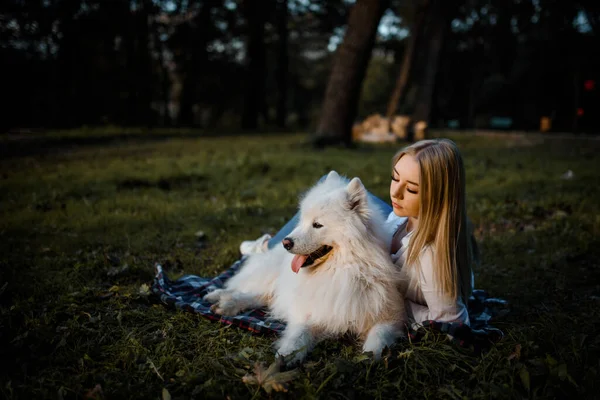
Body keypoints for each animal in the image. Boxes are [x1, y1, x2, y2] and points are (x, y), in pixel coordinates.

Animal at [204, 170, 406, 364]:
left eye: (317, 224)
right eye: (302, 221)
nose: (286, 242)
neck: (341, 271)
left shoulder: (389, 316)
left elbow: (379, 336)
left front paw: (371, 356)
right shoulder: (311, 310)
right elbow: (299, 334)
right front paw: (288, 354)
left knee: (261, 297)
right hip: (271, 277)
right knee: (250, 291)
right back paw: (220, 299)